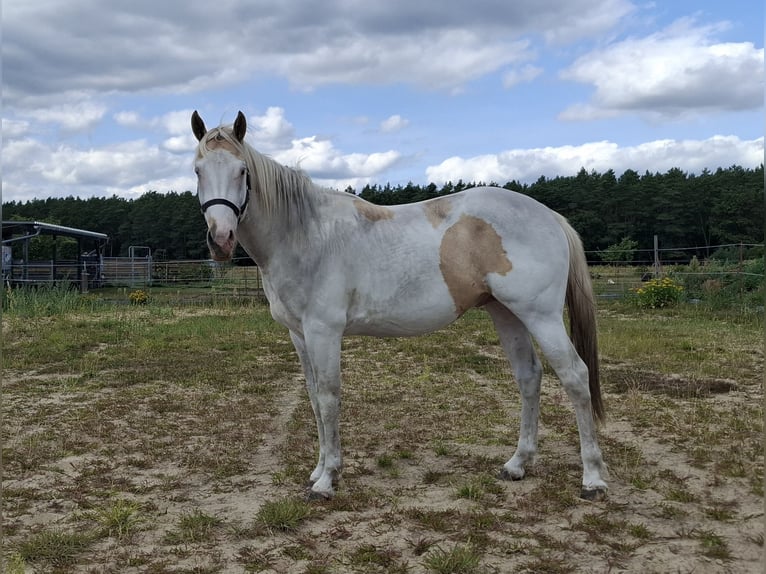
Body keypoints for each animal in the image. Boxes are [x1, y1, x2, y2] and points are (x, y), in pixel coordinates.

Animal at [191, 110, 608, 500]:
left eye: (242, 171)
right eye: (197, 171)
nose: (221, 240)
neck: (306, 235)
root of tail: (548, 215)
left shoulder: (324, 331)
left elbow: (328, 396)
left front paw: (327, 481)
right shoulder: (299, 334)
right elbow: (312, 398)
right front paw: (319, 469)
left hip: (541, 316)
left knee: (575, 377)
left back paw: (592, 478)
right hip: (507, 313)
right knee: (529, 377)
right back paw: (517, 464)